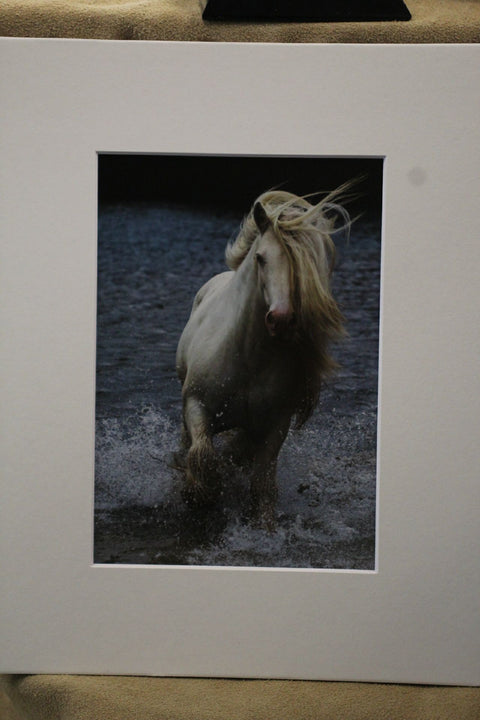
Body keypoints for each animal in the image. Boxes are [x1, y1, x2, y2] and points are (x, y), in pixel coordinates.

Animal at [175, 187, 350, 526]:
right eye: (261, 258)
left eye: (302, 264)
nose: (280, 320)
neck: (247, 358)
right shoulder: (197, 405)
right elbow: (203, 454)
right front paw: (197, 494)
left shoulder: (274, 426)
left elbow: (262, 482)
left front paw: (263, 523)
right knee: (188, 442)